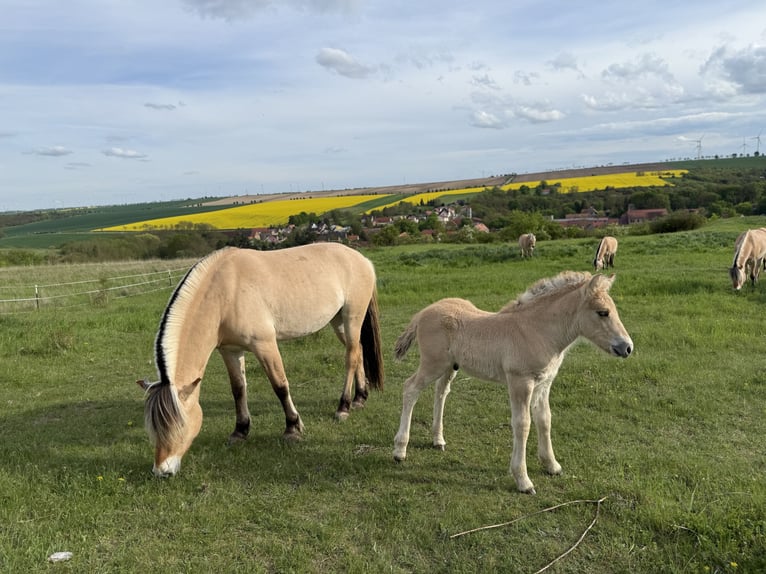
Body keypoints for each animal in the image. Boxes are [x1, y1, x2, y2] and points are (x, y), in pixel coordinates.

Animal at [136, 243, 384, 477]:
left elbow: (280, 386)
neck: (226, 291)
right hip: (338, 321)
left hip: (352, 318)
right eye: (151, 426)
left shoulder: (265, 345)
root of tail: (362, 259)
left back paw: (343, 407)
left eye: (180, 424)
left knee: (350, 357)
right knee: (359, 352)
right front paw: (240, 431)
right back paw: (360, 398)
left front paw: (292, 429)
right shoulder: (230, 351)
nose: (162, 470)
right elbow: (238, 389)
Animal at [392, 271, 633, 494]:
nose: (627, 347)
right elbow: (522, 424)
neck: (536, 331)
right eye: (603, 312)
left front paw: (552, 465)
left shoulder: (544, 383)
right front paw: (523, 480)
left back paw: (438, 440)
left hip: (450, 366)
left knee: (441, 392)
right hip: (432, 364)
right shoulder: (520, 381)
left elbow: (545, 419)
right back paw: (400, 450)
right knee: (410, 388)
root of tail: (423, 312)